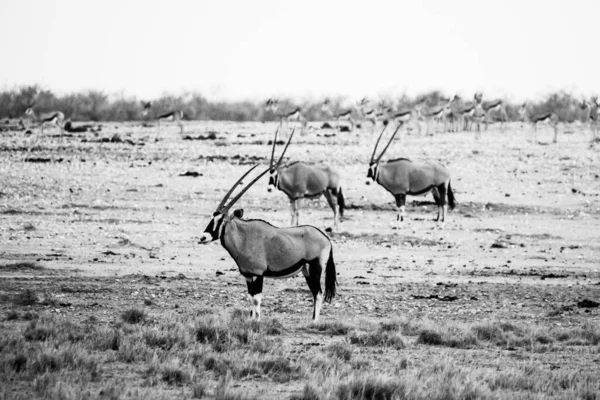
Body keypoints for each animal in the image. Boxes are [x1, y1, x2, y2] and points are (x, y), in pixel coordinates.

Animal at [198, 163, 336, 322]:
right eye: (212, 218)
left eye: (221, 221)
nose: (203, 237)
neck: (244, 237)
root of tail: (326, 238)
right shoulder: (248, 276)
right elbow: (250, 298)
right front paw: (251, 320)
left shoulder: (258, 274)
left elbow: (256, 299)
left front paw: (257, 321)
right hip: (306, 271)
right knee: (315, 292)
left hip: (315, 268)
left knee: (318, 293)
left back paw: (314, 321)